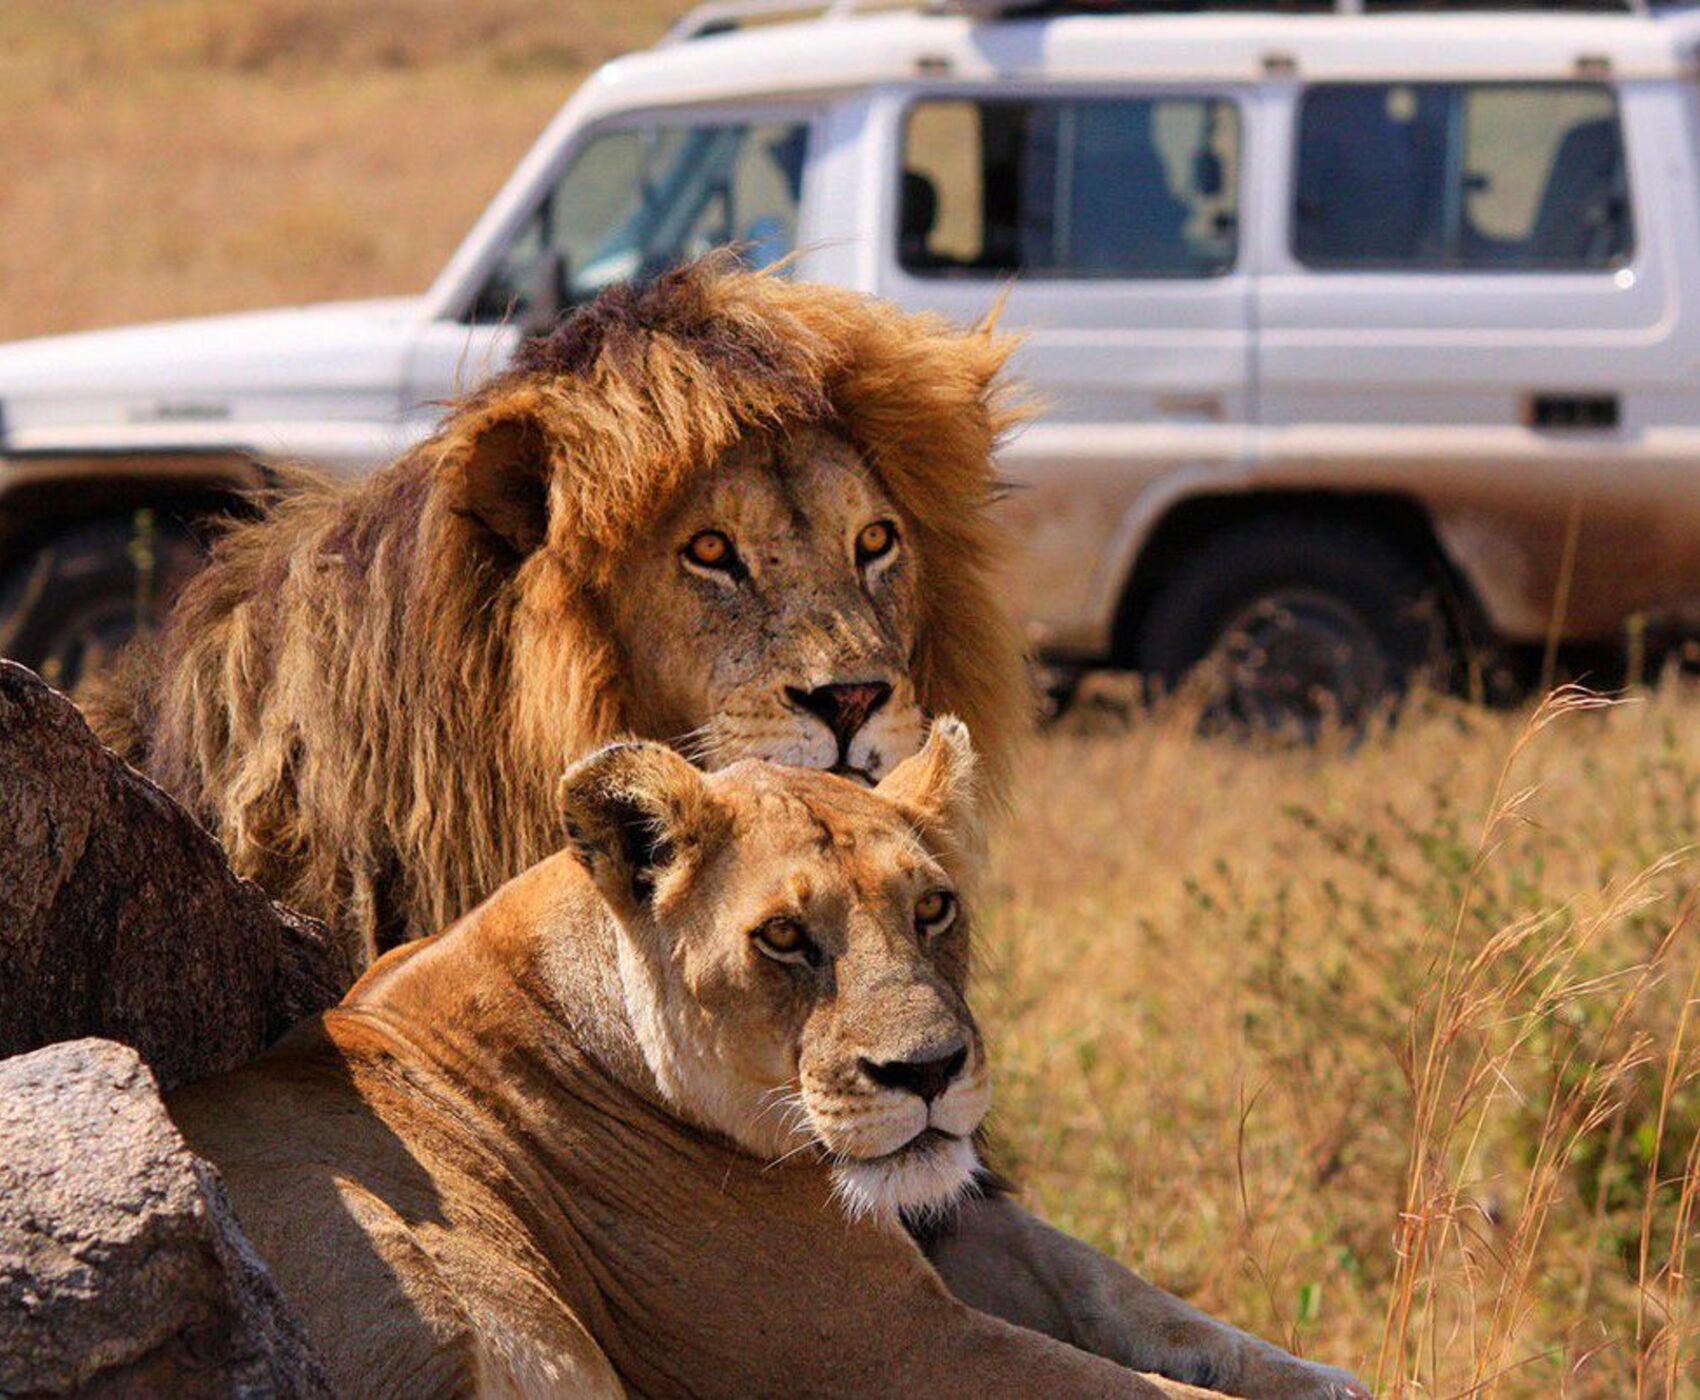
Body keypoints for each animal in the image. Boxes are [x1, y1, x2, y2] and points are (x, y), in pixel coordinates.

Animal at [169, 727, 1278, 1393]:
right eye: (783, 935)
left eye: (933, 907)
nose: (928, 1072)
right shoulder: (891, 1347)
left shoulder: (940, 1226)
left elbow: (1145, 1304)